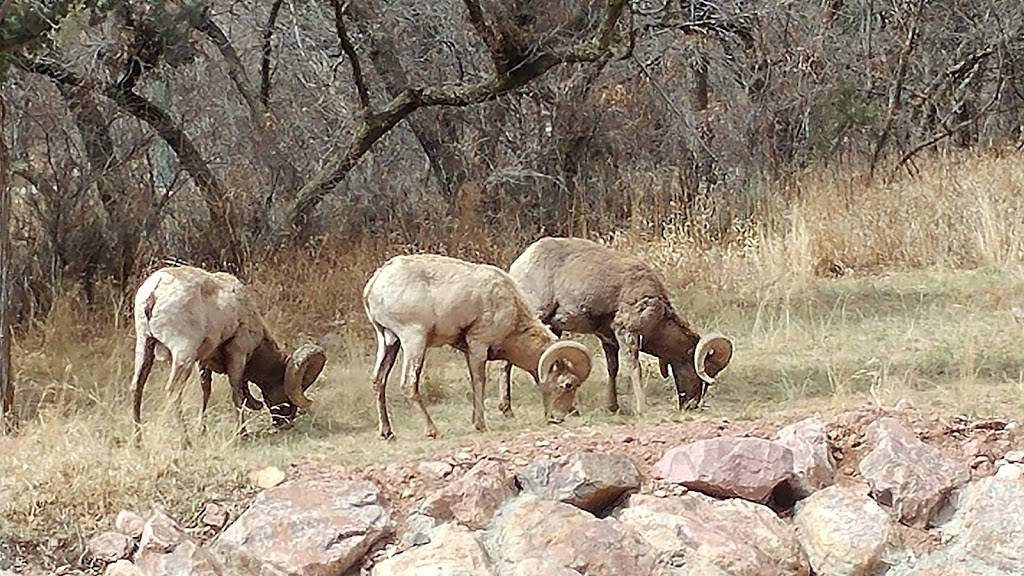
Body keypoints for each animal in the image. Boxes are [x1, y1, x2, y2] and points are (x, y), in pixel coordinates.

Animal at [130, 266, 325, 432]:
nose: (286, 422)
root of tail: (155, 292)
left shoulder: (204, 362)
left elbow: (206, 391)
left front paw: (202, 430)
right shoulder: (237, 353)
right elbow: (236, 390)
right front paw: (242, 433)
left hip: (144, 347)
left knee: (136, 388)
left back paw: (139, 442)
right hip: (182, 355)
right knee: (173, 391)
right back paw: (185, 443)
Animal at [366, 253, 593, 436]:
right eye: (568, 384)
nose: (557, 418)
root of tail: (374, 285)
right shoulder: (478, 346)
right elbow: (479, 381)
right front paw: (481, 425)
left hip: (389, 341)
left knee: (378, 380)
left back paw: (387, 433)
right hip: (414, 340)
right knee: (409, 384)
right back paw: (432, 431)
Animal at [501, 236, 729, 412]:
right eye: (706, 371)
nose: (692, 405)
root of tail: (519, 264)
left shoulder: (608, 338)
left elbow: (613, 368)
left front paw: (613, 407)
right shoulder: (627, 332)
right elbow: (634, 367)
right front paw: (642, 409)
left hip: (554, 328)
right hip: (537, 316)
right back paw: (507, 410)